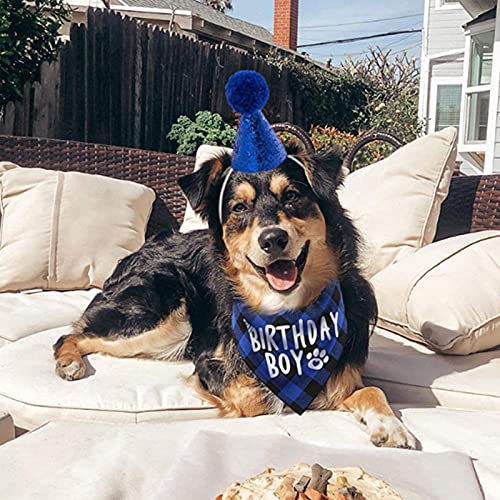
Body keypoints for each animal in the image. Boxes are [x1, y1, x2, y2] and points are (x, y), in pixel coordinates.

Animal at [52, 142, 416, 450]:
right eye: (239, 207)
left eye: (292, 196)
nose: (273, 239)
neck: (288, 316)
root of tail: (142, 250)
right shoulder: (210, 363)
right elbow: (255, 397)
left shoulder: (344, 374)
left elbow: (370, 389)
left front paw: (391, 426)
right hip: (167, 315)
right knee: (72, 336)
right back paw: (69, 362)